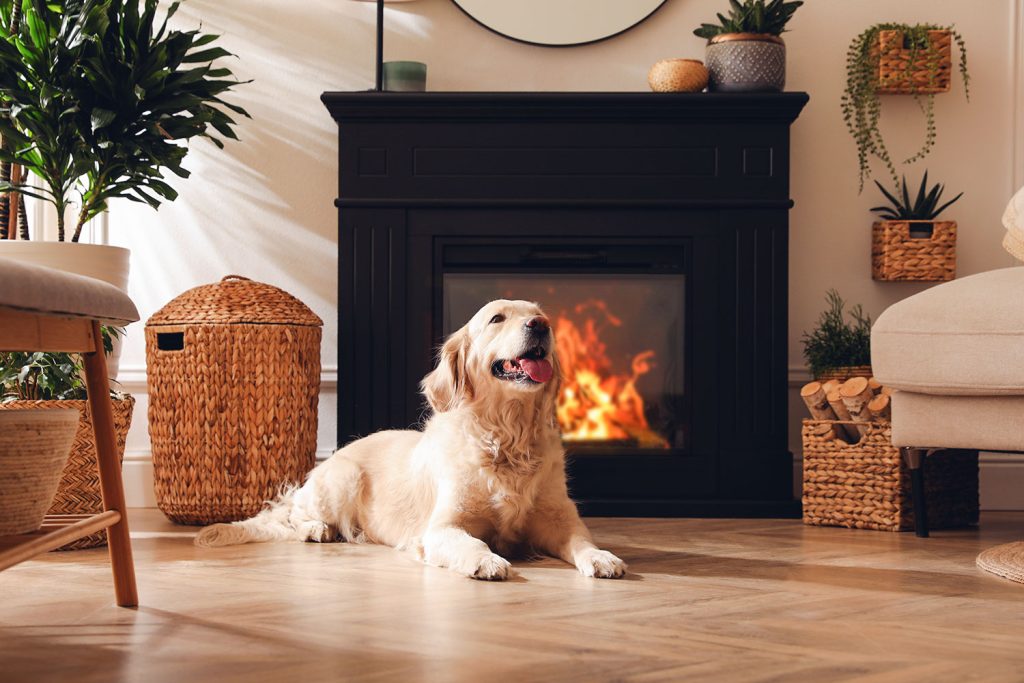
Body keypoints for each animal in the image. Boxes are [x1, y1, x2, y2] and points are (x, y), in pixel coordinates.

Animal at [191, 301, 622, 581]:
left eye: (540, 314)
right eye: (496, 318)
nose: (541, 325)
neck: (507, 436)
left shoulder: (557, 518)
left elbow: (581, 540)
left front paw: (602, 556)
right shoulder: (442, 527)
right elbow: (473, 543)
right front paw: (486, 561)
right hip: (341, 479)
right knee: (291, 514)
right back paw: (317, 528)